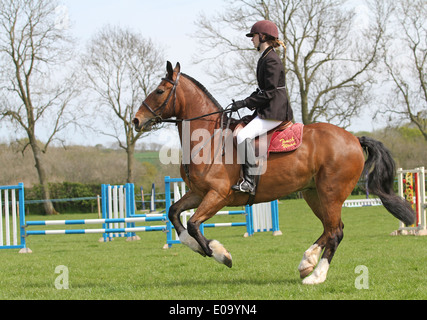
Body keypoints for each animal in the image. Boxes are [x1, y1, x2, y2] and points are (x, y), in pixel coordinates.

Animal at [133, 61, 414, 284]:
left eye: (159, 91)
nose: (136, 120)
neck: (207, 138)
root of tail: (354, 139)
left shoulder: (218, 195)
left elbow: (192, 224)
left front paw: (220, 253)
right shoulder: (198, 193)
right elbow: (174, 213)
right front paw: (201, 248)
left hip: (331, 193)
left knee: (336, 232)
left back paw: (316, 276)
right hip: (313, 193)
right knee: (330, 228)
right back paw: (307, 262)